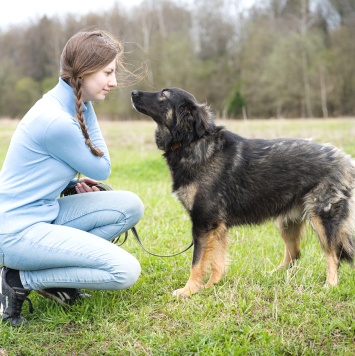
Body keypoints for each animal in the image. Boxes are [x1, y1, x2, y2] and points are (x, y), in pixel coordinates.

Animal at [131, 87, 355, 298]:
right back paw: (272, 276)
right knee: (294, 254)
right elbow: (217, 262)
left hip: (322, 218)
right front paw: (211, 286)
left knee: (333, 254)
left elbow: (197, 262)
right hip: (286, 222)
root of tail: (346, 160)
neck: (191, 142)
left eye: (164, 94)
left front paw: (189, 290)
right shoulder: (216, 226)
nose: (133, 92)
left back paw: (330, 285)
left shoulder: (203, 223)